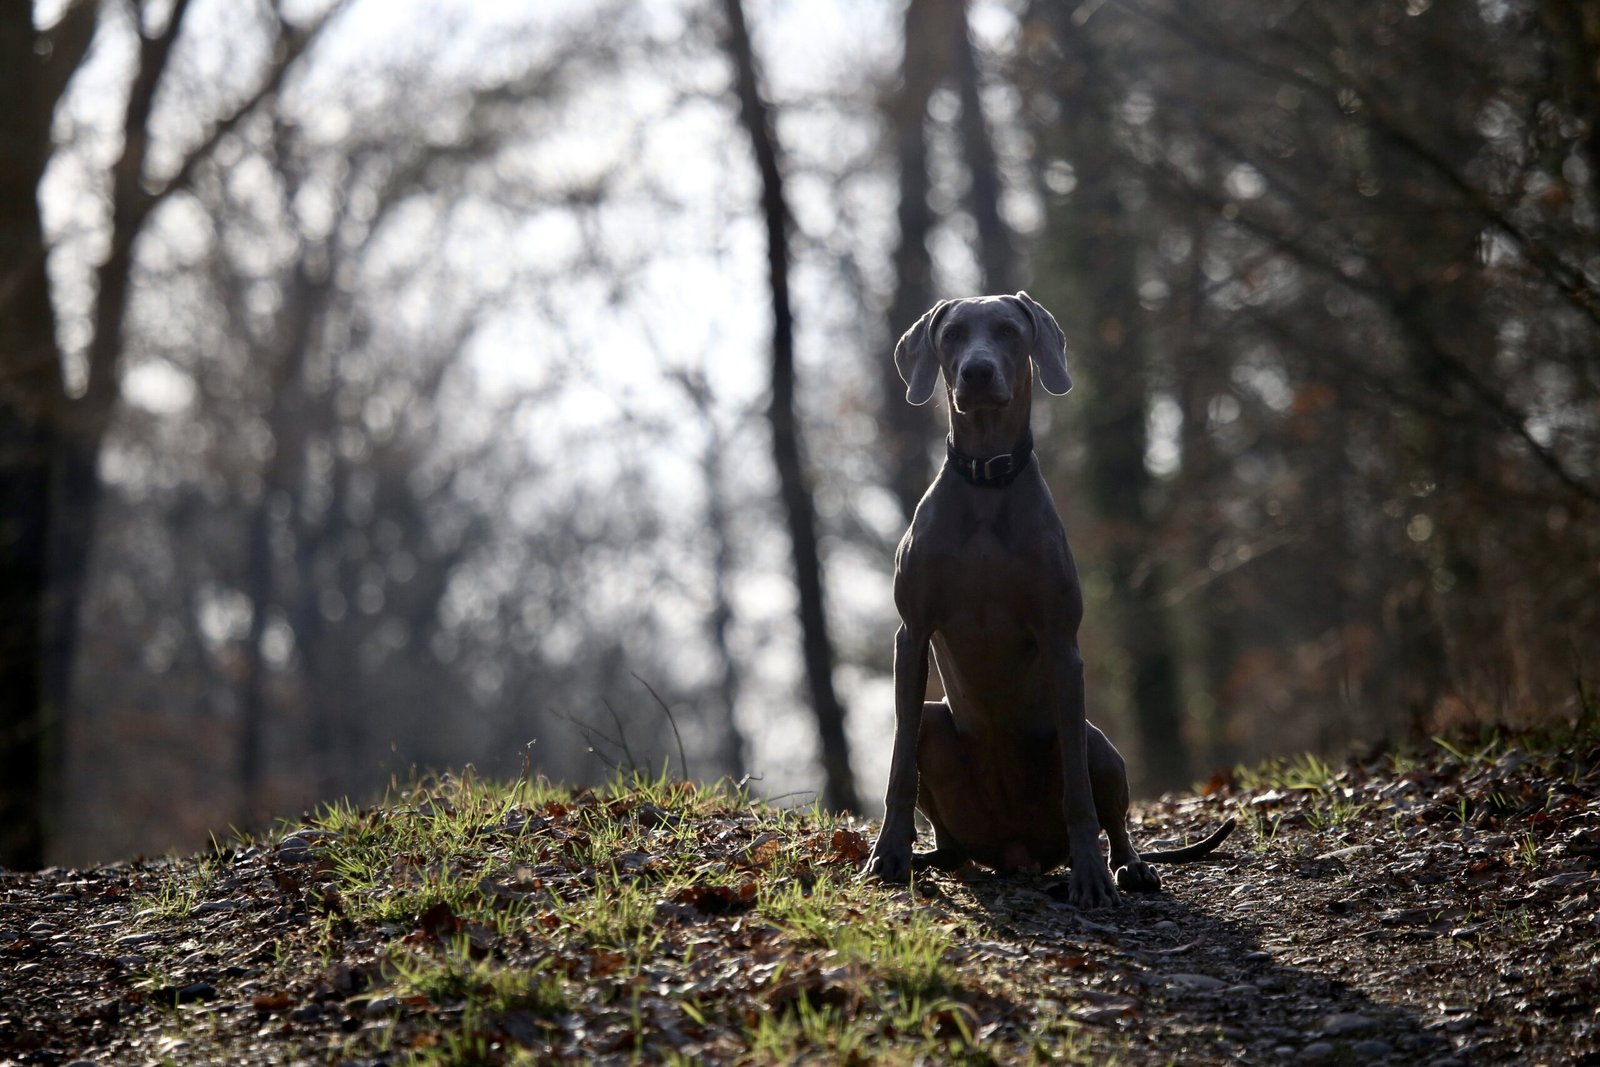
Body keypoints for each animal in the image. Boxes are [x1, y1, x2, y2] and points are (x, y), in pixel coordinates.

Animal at [864, 294, 1235, 908]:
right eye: (953, 334)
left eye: (1009, 331)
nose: (977, 372)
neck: (987, 482)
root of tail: (1016, 853)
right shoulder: (911, 635)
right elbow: (898, 767)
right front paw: (887, 855)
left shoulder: (1062, 640)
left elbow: (1079, 797)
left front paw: (1091, 877)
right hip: (937, 726)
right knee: (949, 834)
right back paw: (929, 858)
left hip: (1093, 740)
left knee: (1112, 816)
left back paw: (1127, 868)